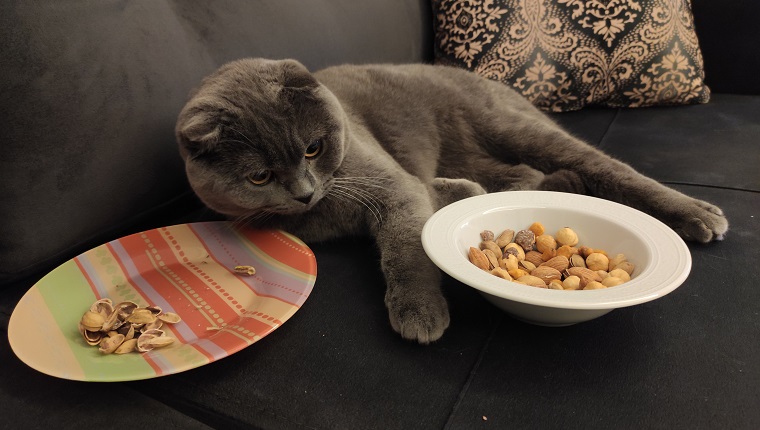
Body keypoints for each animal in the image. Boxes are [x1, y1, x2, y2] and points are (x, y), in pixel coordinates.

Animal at [175, 58, 728, 344]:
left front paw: (420, 314)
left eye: (313, 147)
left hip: (513, 128)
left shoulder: (390, 185)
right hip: (484, 154)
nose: (304, 191)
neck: (325, 210)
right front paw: (459, 196)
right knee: (526, 175)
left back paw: (700, 215)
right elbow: (433, 194)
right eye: (260, 176)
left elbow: (407, 247)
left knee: (606, 166)